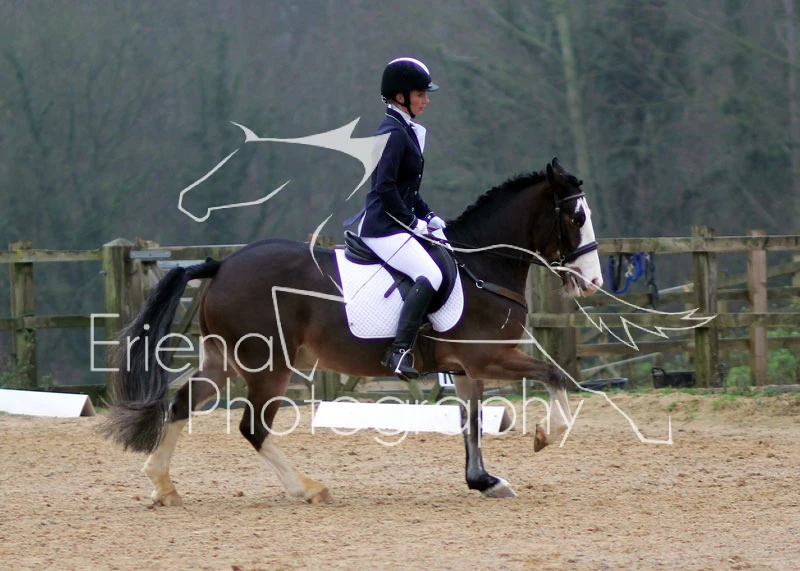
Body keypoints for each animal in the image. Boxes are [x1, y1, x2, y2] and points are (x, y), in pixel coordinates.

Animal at [103, 157, 603, 505]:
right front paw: (545, 435)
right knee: (253, 427)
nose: (594, 282)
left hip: (223, 359)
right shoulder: (490, 358)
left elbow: (473, 423)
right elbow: (556, 375)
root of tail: (222, 264)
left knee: (181, 405)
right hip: (269, 367)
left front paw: (484, 481)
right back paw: (308, 489)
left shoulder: (466, 370)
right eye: (576, 218)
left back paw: (163, 487)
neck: (481, 268)